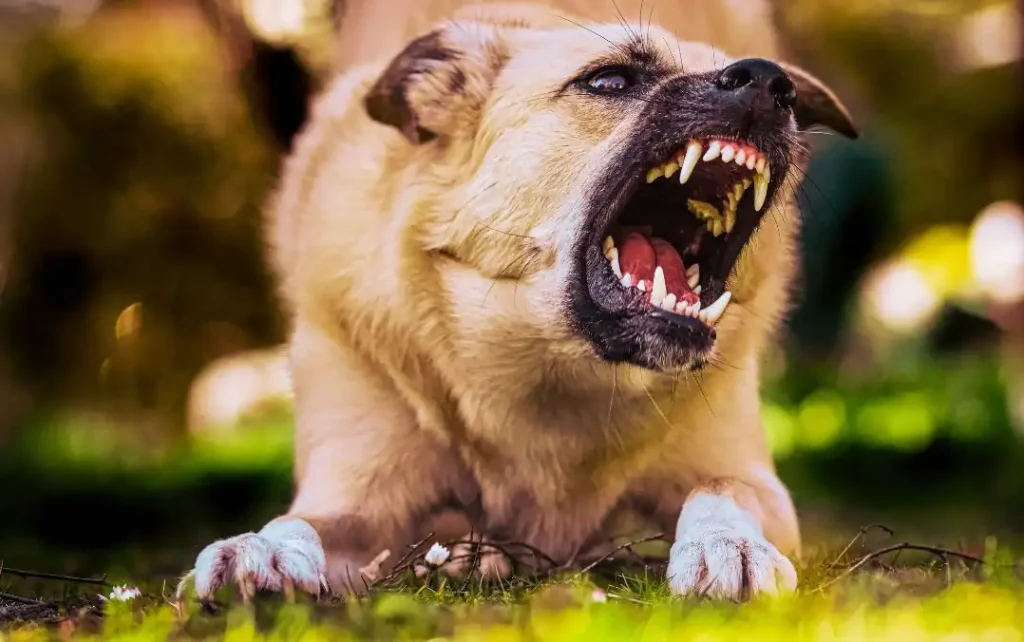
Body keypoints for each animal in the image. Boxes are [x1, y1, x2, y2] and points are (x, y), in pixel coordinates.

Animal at [178, 1, 856, 602]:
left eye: (781, 88)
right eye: (610, 79)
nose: (769, 82)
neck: (555, 375)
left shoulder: (748, 477)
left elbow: (719, 490)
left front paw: (728, 544)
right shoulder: (354, 496)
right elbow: (303, 521)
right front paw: (262, 548)